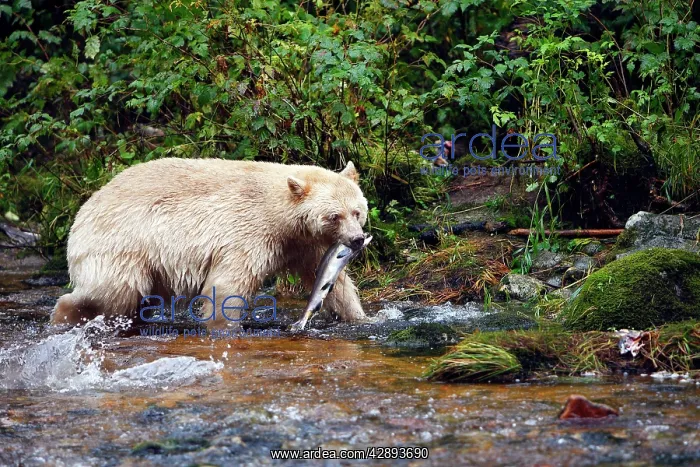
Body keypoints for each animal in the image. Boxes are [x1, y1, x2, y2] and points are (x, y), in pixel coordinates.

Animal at [51, 158, 369, 328]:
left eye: (357, 211)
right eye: (334, 216)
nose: (355, 240)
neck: (280, 214)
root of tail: (82, 212)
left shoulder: (304, 243)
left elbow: (331, 281)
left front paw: (360, 318)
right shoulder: (249, 232)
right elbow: (229, 285)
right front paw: (223, 326)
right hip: (122, 245)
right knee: (111, 291)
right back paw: (64, 315)